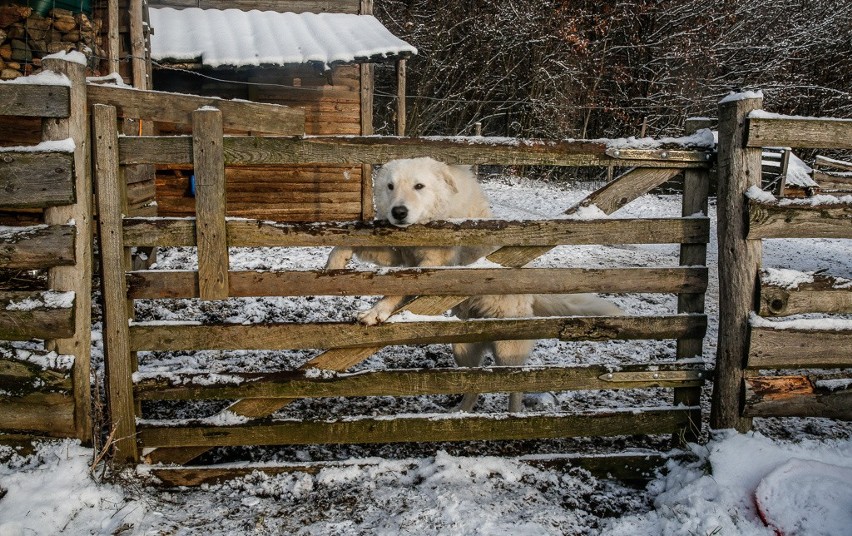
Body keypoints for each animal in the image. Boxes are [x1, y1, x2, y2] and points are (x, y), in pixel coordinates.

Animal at [326, 157, 620, 412]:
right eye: (390, 186)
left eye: (419, 186)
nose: (398, 212)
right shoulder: (399, 255)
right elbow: (350, 245)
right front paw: (335, 260)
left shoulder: (433, 265)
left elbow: (396, 291)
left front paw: (376, 312)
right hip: (463, 350)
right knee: (475, 384)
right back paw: (460, 414)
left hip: (508, 352)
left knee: (515, 387)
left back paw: (513, 416)